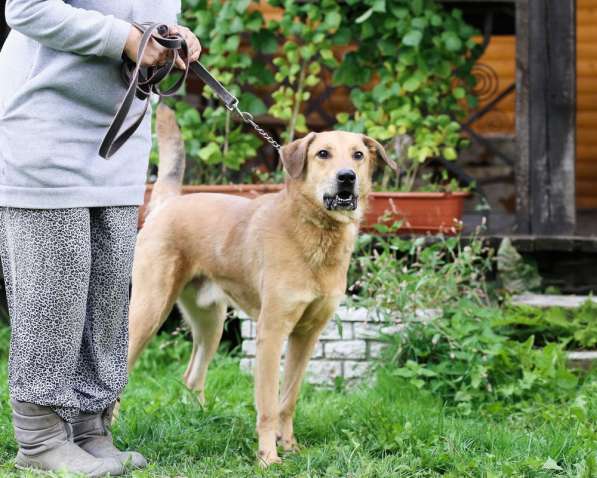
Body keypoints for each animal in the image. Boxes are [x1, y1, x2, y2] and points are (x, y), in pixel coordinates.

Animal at [126, 103, 396, 464]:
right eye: (323, 153)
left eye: (358, 155)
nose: (347, 177)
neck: (316, 233)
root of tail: (169, 203)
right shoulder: (271, 333)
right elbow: (268, 403)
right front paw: (268, 456)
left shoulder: (307, 335)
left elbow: (289, 399)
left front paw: (290, 446)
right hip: (148, 311)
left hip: (210, 324)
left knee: (192, 377)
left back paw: (200, 422)